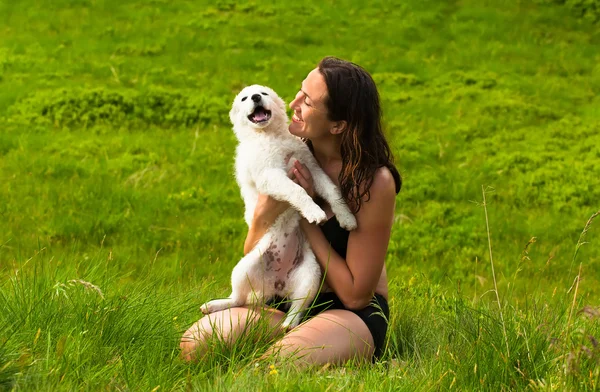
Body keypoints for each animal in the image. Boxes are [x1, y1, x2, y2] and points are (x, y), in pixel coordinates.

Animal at [199, 85, 356, 328]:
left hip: (310, 276)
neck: (270, 135)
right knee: (238, 299)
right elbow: (297, 191)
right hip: (244, 268)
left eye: (263, 93)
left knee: (297, 310)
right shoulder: (270, 175)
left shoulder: (311, 168)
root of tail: (277, 284)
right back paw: (214, 305)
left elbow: (332, 190)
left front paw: (347, 218)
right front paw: (314, 211)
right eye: (244, 98)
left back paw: (287, 326)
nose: (255, 97)